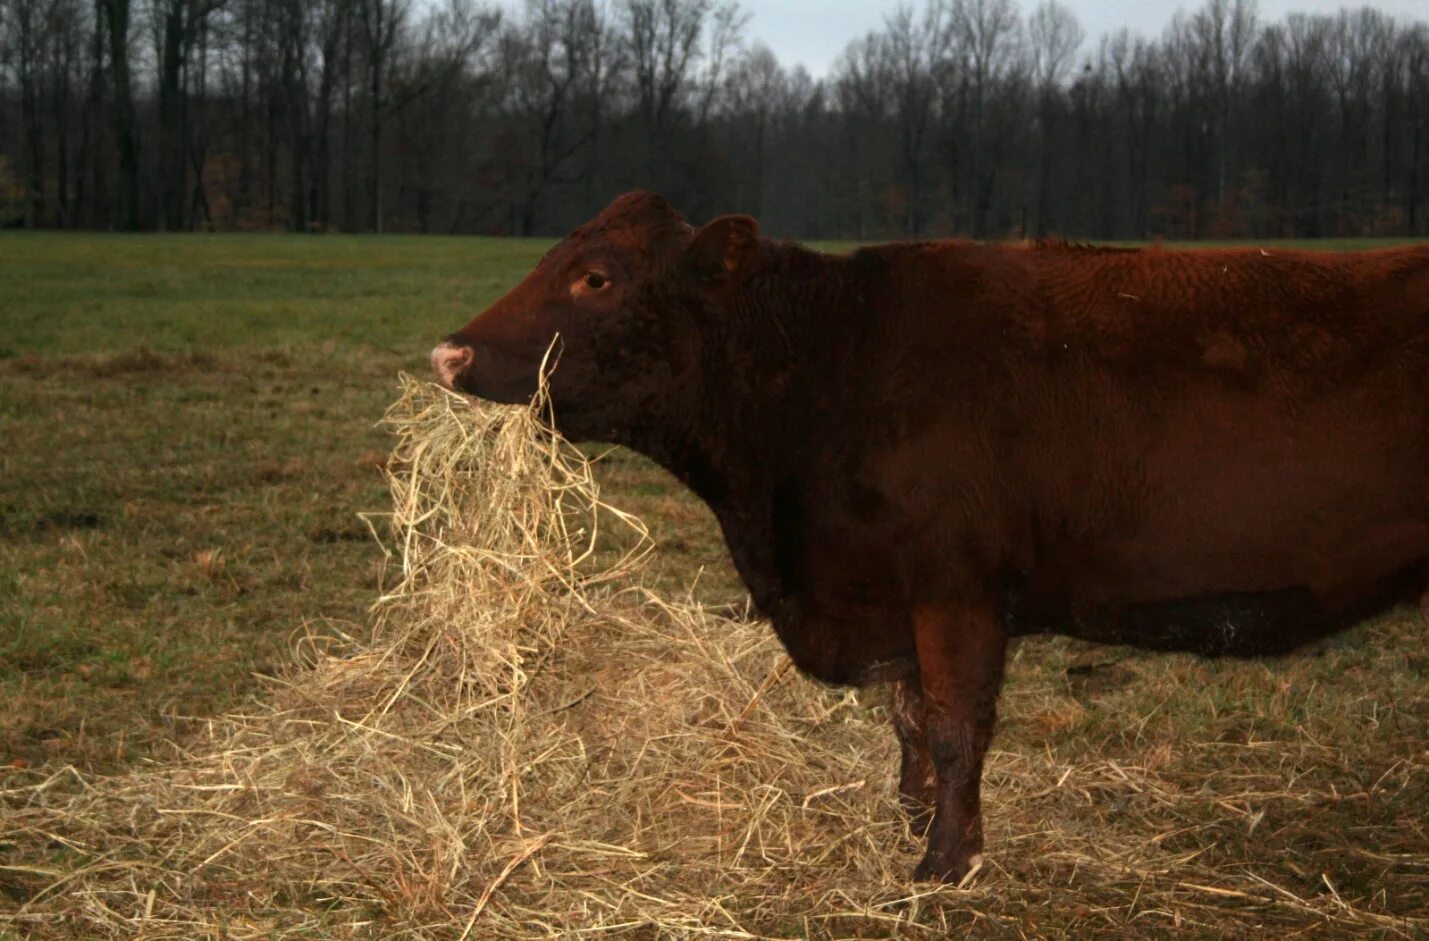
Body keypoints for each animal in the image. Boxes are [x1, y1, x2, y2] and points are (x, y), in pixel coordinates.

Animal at [431, 191, 1429, 885]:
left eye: (596, 278)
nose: (449, 353)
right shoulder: (889, 594)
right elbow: (909, 724)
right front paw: (908, 826)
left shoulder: (956, 589)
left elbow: (954, 729)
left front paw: (945, 863)